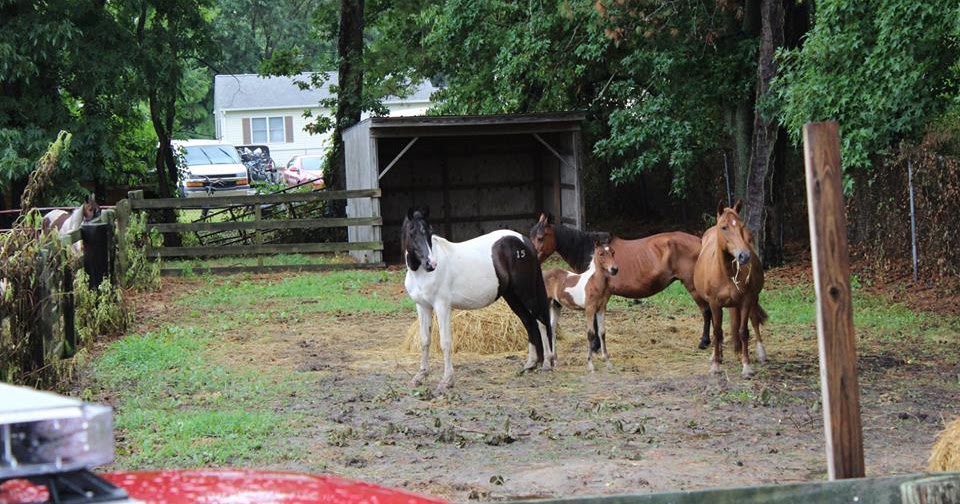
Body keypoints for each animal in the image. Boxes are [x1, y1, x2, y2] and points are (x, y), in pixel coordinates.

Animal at [402, 207, 555, 392]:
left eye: (430, 232)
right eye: (412, 232)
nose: (431, 264)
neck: (420, 273)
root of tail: (525, 242)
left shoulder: (442, 306)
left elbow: (445, 342)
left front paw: (446, 381)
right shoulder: (422, 306)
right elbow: (425, 340)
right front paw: (420, 377)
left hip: (527, 293)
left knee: (541, 322)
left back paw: (547, 363)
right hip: (512, 296)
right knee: (529, 322)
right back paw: (530, 365)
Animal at [530, 213, 712, 347]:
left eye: (540, 237)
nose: (531, 257)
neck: (592, 253)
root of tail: (700, 242)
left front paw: (595, 346)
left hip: (692, 286)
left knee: (706, 311)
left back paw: (704, 342)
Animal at [542, 240, 619, 371]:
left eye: (613, 252)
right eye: (601, 254)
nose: (614, 269)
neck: (594, 283)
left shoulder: (602, 308)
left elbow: (602, 332)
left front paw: (608, 362)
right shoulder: (589, 309)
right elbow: (591, 334)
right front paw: (590, 365)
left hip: (556, 306)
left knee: (551, 328)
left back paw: (555, 360)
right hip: (546, 303)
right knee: (543, 327)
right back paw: (547, 360)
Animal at [693, 200, 766, 377]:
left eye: (740, 226)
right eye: (724, 227)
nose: (744, 256)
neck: (726, 273)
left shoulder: (746, 301)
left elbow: (744, 332)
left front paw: (746, 367)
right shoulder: (714, 303)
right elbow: (717, 332)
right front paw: (715, 365)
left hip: (754, 299)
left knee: (754, 321)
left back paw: (761, 353)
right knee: (717, 328)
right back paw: (716, 356)